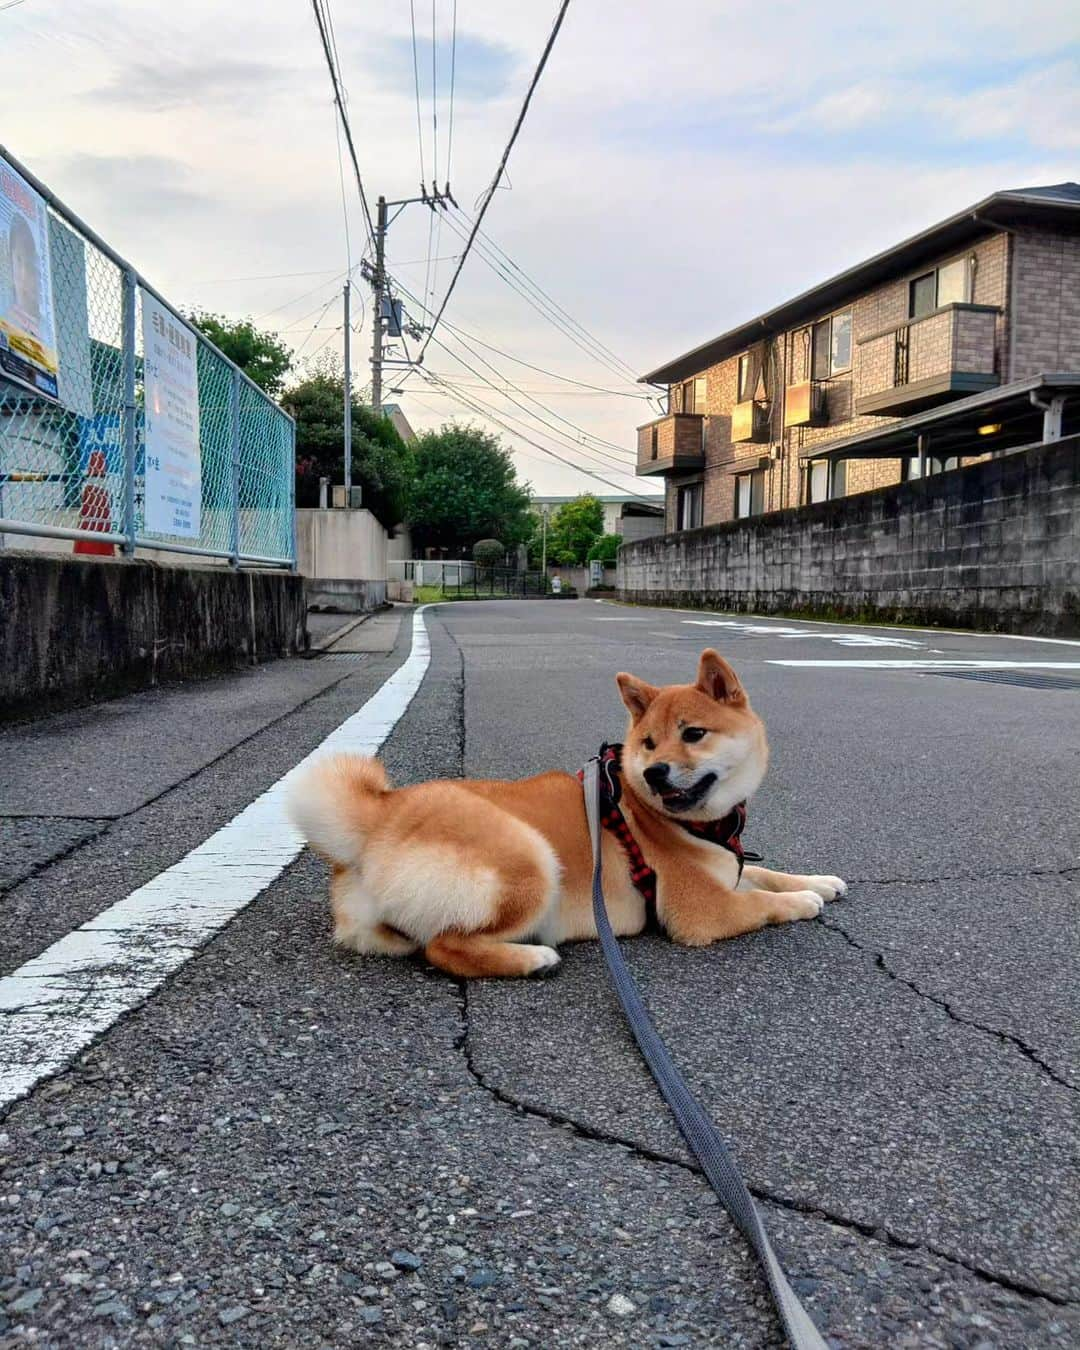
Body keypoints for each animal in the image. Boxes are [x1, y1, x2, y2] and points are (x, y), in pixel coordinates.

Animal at [291, 648, 847, 977]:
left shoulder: (727, 868)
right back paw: (532, 958)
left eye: (693, 734)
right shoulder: (700, 911)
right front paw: (802, 902)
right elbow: (763, 902)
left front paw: (819, 882)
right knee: (444, 947)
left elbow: (766, 873)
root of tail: (379, 817)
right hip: (531, 859)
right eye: (649, 743)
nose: (655, 773)